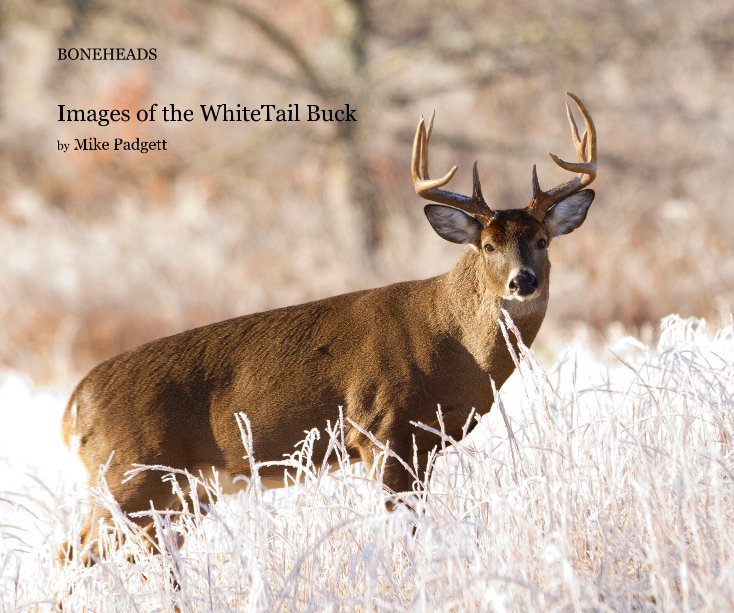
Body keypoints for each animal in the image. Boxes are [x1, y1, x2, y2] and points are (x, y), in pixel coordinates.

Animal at [61, 92, 600, 560]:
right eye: (487, 246)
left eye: (542, 241)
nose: (522, 280)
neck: (453, 346)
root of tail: (74, 407)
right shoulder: (383, 430)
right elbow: (403, 530)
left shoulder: (424, 446)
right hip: (128, 475)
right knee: (73, 550)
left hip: (184, 490)